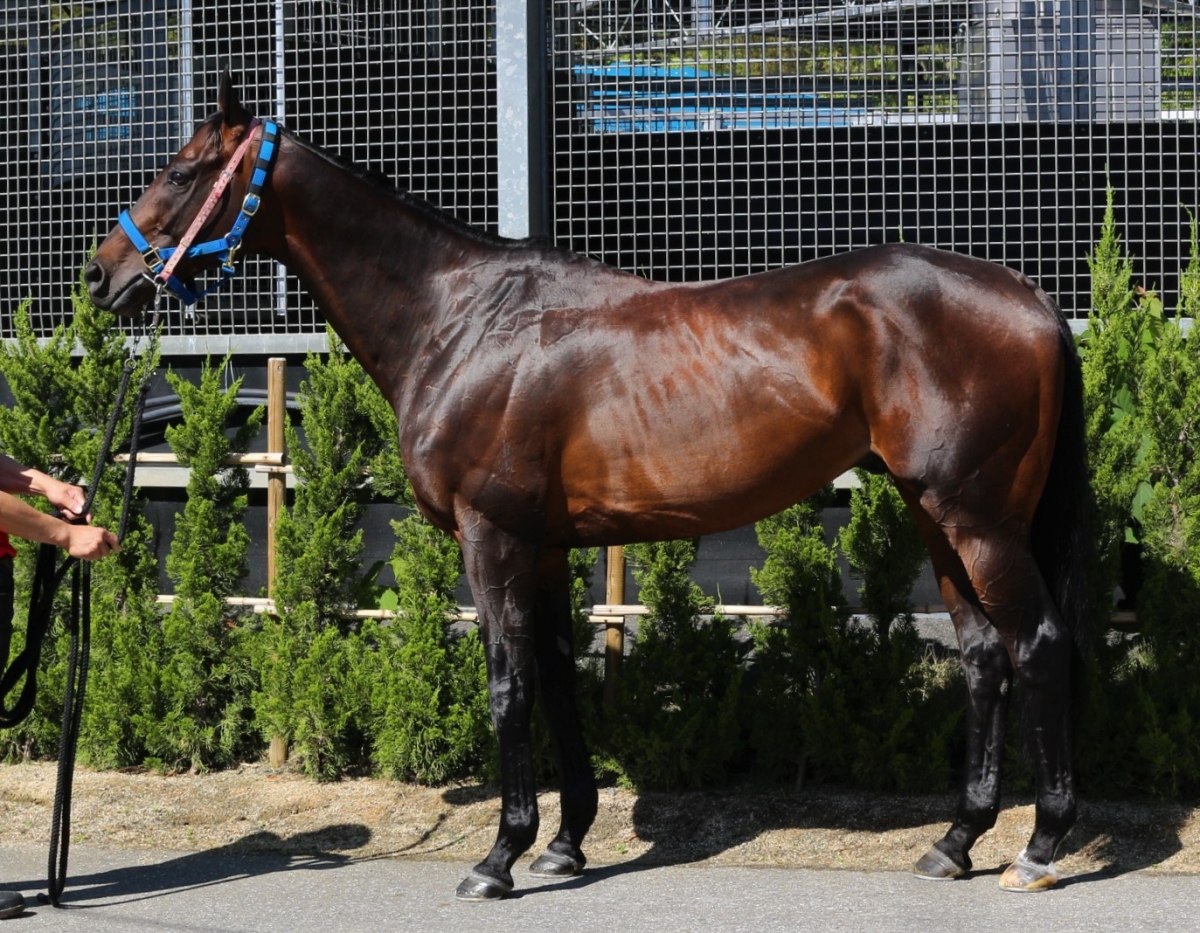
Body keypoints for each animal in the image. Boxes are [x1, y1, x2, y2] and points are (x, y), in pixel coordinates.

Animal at [86, 74, 1091, 900]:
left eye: (182, 172)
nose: (104, 276)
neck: (461, 318)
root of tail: (1030, 296)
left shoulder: (490, 536)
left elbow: (507, 684)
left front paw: (498, 856)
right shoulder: (542, 545)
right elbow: (559, 679)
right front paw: (564, 844)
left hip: (978, 520)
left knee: (1039, 644)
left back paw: (1040, 847)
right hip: (937, 516)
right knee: (984, 656)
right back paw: (956, 840)